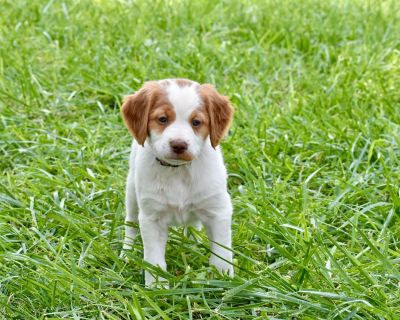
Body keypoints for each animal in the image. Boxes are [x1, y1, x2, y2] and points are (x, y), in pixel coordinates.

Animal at [121, 78, 234, 284]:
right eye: (162, 119)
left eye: (196, 122)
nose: (179, 145)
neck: (178, 170)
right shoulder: (152, 217)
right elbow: (154, 259)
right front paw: (157, 286)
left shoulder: (218, 210)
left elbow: (222, 253)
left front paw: (223, 279)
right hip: (132, 193)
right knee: (130, 224)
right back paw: (127, 253)